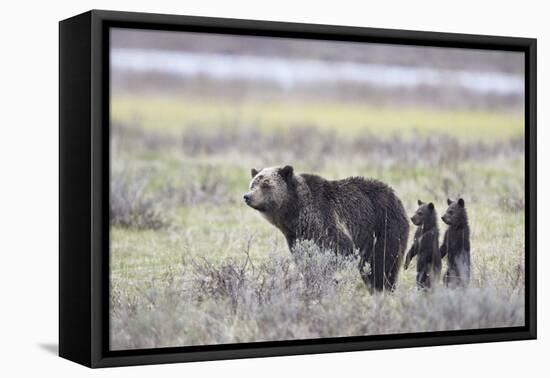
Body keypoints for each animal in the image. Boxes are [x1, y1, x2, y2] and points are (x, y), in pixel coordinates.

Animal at [245, 165, 410, 292]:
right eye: (253, 184)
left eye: (266, 184)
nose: (247, 196)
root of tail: (396, 196)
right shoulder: (296, 236)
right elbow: (304, 258)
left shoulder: (325, 220)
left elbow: (339, 248)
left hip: (383, 227)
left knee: (382, 264)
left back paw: (382, 288)